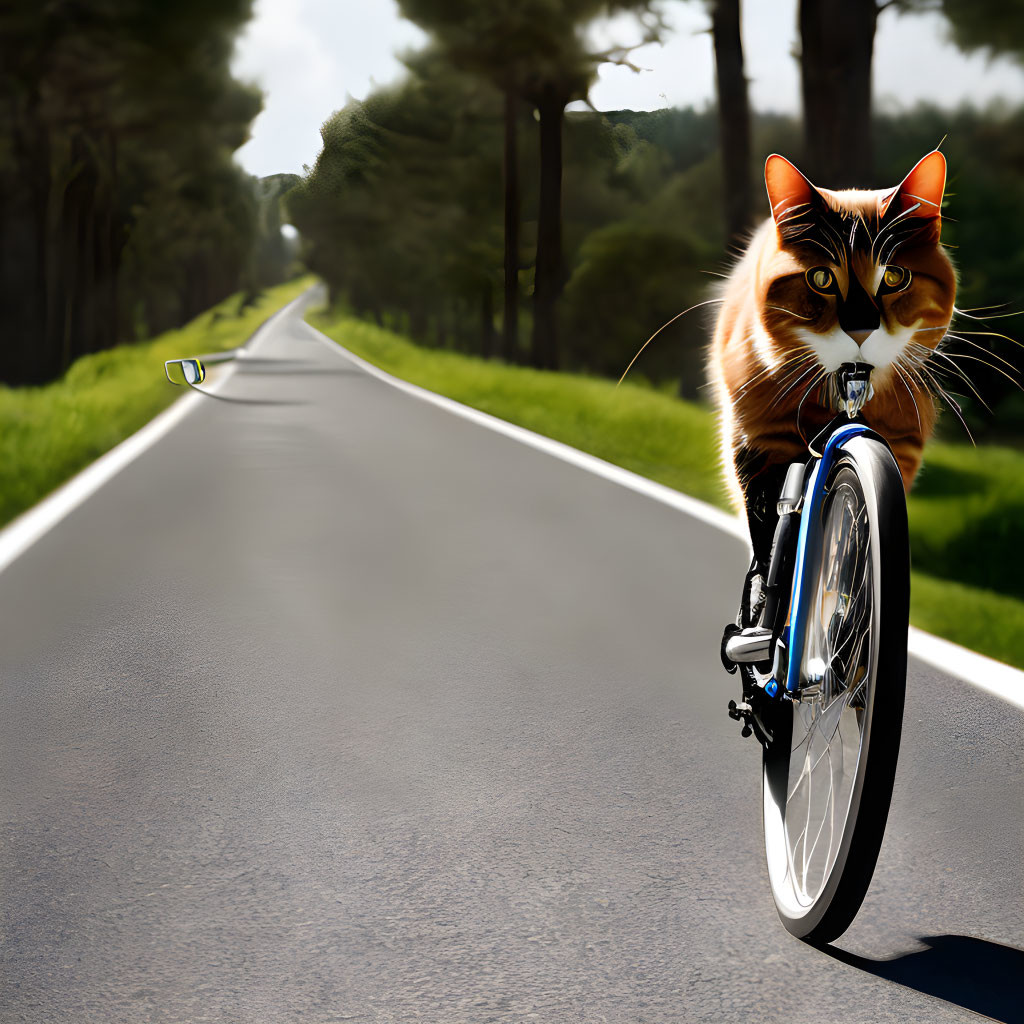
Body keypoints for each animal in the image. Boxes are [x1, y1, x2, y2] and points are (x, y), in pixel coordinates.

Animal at [708, 150, 954, 565]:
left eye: (894, 277)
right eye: (821, 278)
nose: (861, 328)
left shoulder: (899, 450)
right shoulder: (760, 443)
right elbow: (771, 543)